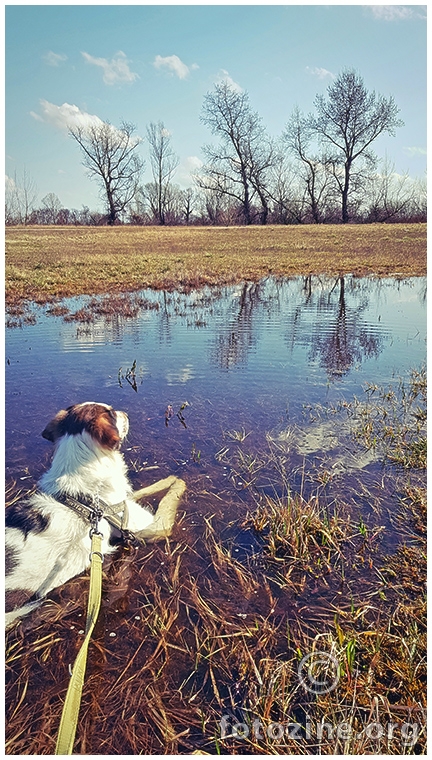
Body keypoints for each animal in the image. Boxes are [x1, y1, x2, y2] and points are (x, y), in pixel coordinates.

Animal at [5, 400, 186, 628]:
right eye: (112, 413)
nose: (126, 413)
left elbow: (139, 493)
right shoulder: (152, 526)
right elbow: (170, 497)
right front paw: (176, 481)